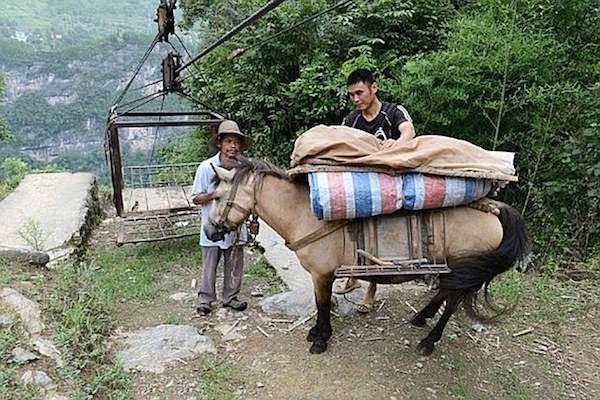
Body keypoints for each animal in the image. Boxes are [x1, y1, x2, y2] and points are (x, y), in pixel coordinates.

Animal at [204, 158, 528, 354]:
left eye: (218, 196)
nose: (209, 230)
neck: (304, 214)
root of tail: (495, 210)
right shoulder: (320, 275)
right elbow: (320, 303)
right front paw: (315, 332)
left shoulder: (322, 273)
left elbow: (323, 304)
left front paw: (320, 338)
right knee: (445, 295)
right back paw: (420, 317)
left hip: (465, 269)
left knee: (451, 303)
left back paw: (428, 341)